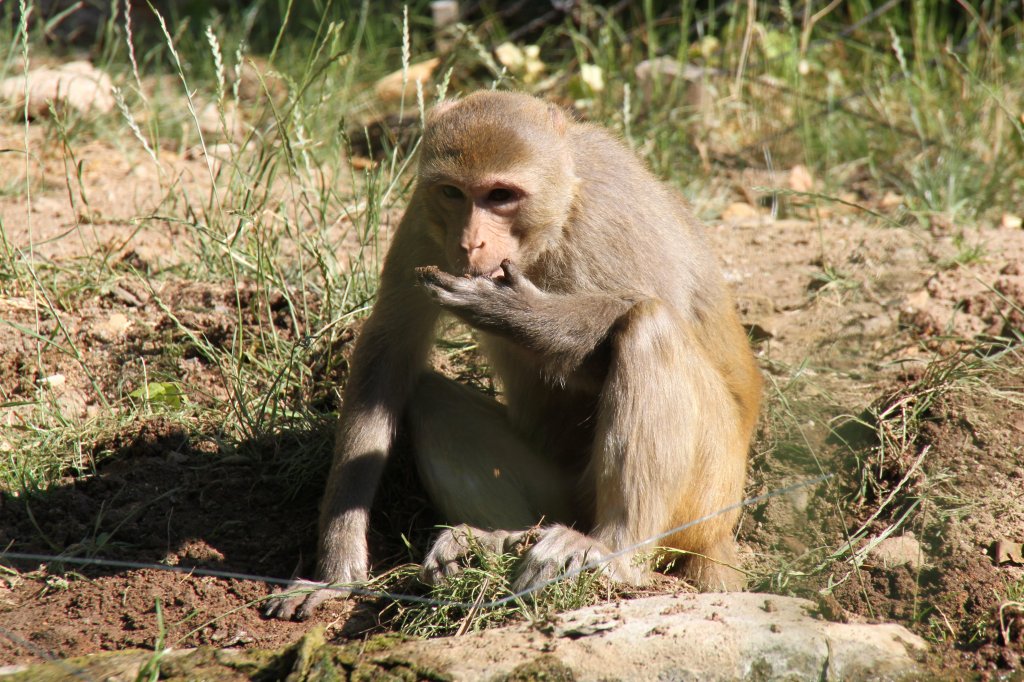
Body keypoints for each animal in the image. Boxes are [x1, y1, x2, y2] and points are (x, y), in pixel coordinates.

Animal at [264, 87, 761, 618]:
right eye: (454, 193)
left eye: (501, 196)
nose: (470, 242)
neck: (558, 214)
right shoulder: (424, 214)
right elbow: (388, 354)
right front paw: (337, 572)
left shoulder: (615, 216)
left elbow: (656, 309)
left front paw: (522, 316)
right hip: (565, 496)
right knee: (428, 397)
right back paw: (499, 539)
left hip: (707, 495)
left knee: (650, 327)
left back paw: (614, 551)